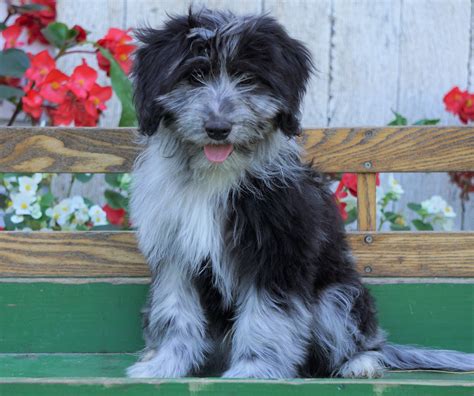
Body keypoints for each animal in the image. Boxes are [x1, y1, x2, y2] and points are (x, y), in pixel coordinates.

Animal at [127, 6, 474, 378]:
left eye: (247, 78)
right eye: (194, 76)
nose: (218, 128)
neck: (217, 175)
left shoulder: (277, 251)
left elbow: (266, 317)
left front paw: (254, 369)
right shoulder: (175, 254)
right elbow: (176, 313)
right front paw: (165, 364)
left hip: (336, 297)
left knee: (358, 341)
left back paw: (360, 362)